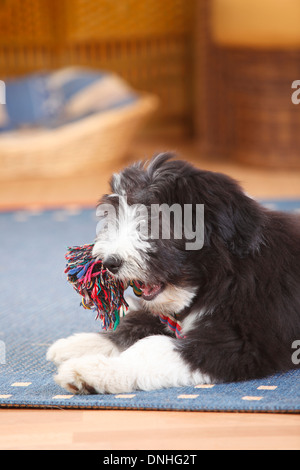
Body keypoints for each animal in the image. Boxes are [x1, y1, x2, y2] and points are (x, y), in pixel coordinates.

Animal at [47, 154, 300, 392]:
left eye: (154, 223)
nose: (110, 262)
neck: (228, 274)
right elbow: (135, 321)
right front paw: (76, 346)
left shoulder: (241, 342)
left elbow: (151, 348)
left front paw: (92, 371)